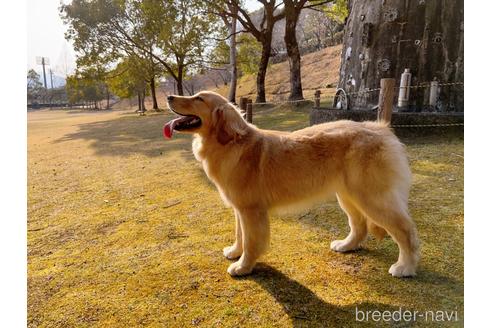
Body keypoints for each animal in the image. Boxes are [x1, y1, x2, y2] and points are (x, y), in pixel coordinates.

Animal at [164, 89, 418, 276]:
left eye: (199, 98)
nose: (169, 97)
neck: (230, 144)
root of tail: (381, 129)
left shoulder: (251, 210)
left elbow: (251, 241)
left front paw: (243, 266)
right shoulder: (240, 209)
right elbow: (239, 235)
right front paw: (235, 252)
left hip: (371, 197)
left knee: (405, 230)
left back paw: (405, 267)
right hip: (349, 196)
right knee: (360, 226)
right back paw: (346, 246)